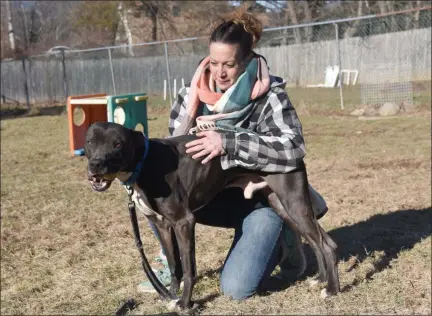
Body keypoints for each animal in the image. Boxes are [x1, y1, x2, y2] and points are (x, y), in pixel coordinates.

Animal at [84, 122, 340, 310]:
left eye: (117, 144)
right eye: (89, 142)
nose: (95, 165)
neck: (144, 162)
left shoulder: (184, 222)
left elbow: (189, 269)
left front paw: (185, 304)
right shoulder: (163, 225)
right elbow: (174, 265)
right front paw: (170, 296)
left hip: (294, 203)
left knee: (326, 244)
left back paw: (332, 290)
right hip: (283, 208)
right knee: (317, 241)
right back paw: (321, 279)